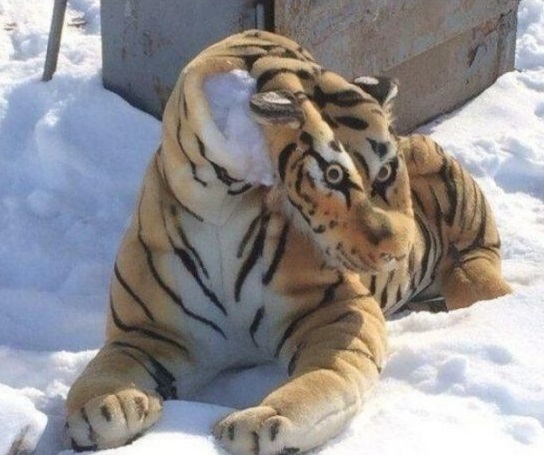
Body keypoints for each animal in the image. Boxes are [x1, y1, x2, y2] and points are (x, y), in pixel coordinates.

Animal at [65, 30, 510, 455]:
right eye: (333, 175)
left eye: (384, 172)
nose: (397, 251)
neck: (220, 201)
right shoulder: (149, 332)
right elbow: (107, 370)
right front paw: (104, 407)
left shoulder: (338, 312)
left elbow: (323, 379)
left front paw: (262, 420)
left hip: (450, 195)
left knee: (478, 262)